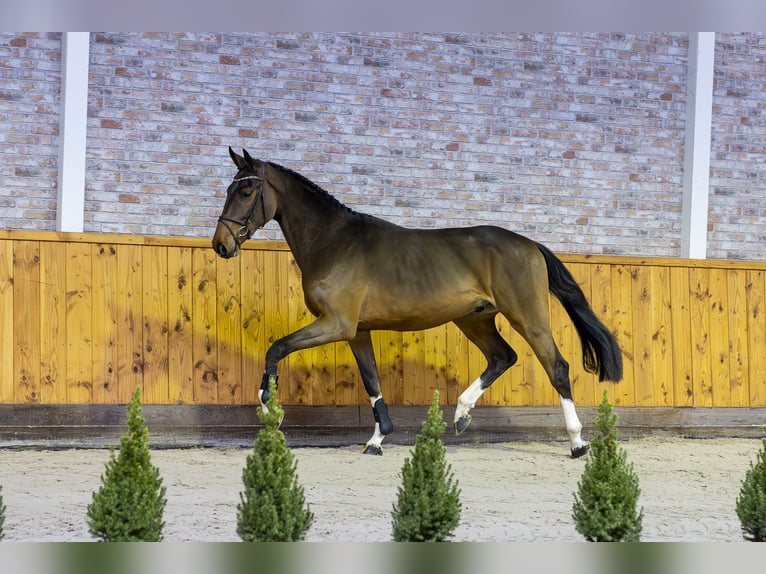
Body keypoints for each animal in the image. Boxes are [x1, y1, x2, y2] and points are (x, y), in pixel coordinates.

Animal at [212, 148, 624, 460]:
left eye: (246, 192)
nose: (221, 244)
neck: (334, 242)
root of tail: (529, 245)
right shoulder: (356, 331)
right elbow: (372, 380)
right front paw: (377, 440)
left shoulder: (336, 324)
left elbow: (276, 348)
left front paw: (268, 406)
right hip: (474, 320)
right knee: (502, 357)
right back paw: (461, 415)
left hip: (527, 316)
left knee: (557, 367)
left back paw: (577, 443)